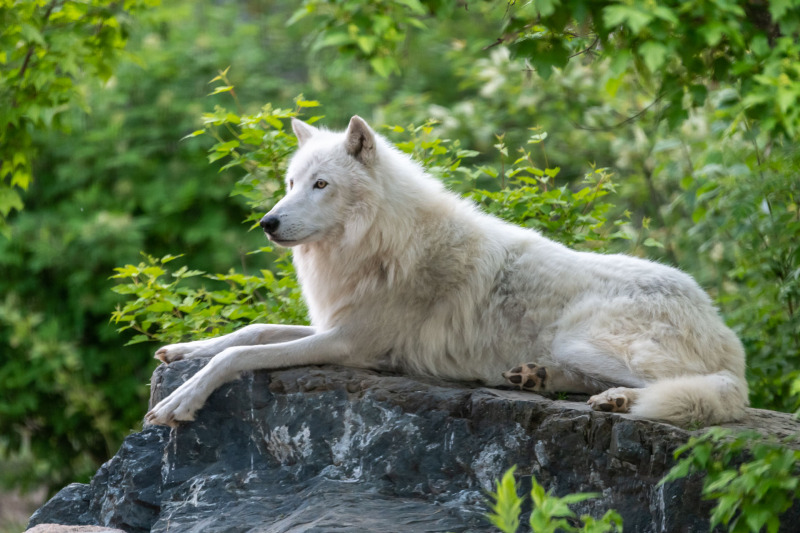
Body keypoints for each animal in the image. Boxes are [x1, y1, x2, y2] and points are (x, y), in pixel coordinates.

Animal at [147, 114, 752, 426]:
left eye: (321, 185)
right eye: (292, 182)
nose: (268, 223)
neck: (382, 241)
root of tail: (724, 330)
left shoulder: (351, 345)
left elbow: (240, 356)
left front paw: (181, 400)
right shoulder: (332, 324)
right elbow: (248, 332)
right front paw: (182, 350)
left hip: (585, 339)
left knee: (699, 390)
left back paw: (618, 402)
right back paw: (537, 379)